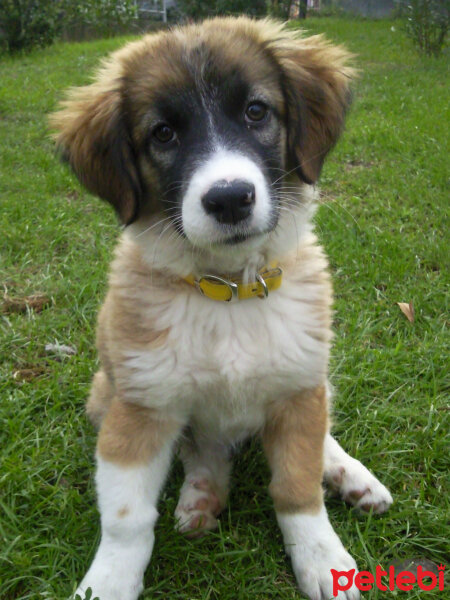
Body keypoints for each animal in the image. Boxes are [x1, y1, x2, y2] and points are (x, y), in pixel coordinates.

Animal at [51, 17, 392, 600]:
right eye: (162, 134)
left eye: (256, 111)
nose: (230, 198)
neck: (229, 290)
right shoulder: (140, 407)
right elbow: (126, 518)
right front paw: (108, 581)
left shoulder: (297, 388)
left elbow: (297, 487)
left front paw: (323, 559)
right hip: (106, 391)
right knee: (203, 448)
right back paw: (202, 495)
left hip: (314, 378)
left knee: (321, 432)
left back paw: (352, 476)